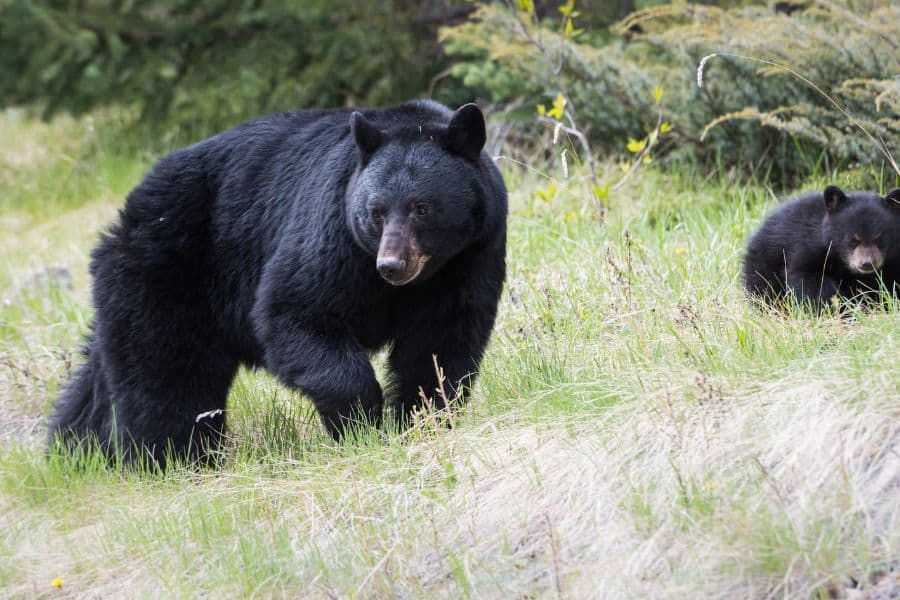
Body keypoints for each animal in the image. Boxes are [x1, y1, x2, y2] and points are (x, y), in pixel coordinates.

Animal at [51, 101, 506, 466]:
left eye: (421, 208)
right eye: (376, 211)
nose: (391, 265)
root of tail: (127, 212)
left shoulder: (470, 255)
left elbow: (439, 342)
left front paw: (421, 419)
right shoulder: (333, 233)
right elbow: (295, 310)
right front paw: (360, 420)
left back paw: (75, 443)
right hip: (165, 273)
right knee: (166, 372)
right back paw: (172, 458)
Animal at [744, 186, 900, 310]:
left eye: (879, 237)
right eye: (853, 239)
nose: (867, 264)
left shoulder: (892, 263)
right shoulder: (807, 249)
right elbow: (809, 281)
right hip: (764, 262)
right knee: (764, 289)